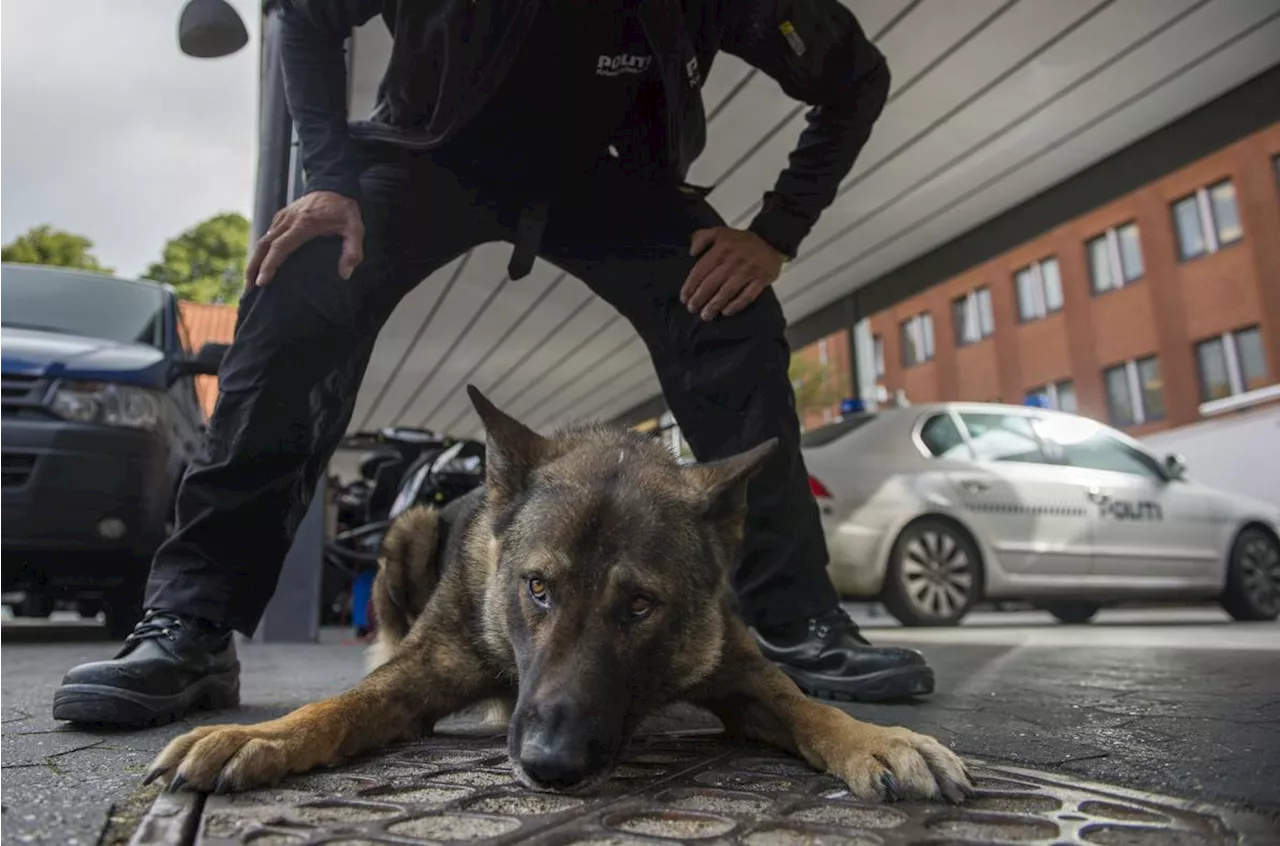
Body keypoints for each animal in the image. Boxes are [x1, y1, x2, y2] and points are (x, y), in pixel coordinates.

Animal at [147, 386, 967, 803]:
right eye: (537, 588)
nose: (550, 765)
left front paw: (877, 738)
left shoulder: (743, 676)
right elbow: (340, 707)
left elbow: (807, 706)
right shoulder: (417, 675)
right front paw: (262, 735)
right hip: (406, 535)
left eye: (640, 606)